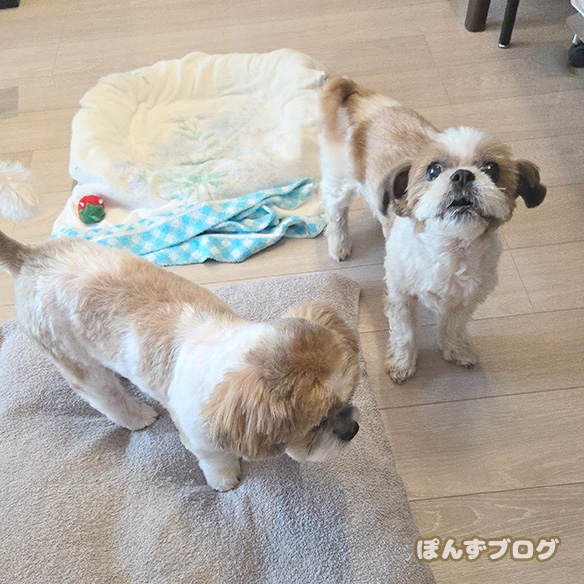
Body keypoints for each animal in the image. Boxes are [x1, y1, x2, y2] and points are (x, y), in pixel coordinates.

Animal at [0, 161, 361, 491]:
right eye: (315, 424)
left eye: (349, 395)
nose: (353, 429)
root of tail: (31, 258)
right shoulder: (200, 437)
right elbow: (216, 461)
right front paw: (225, 479)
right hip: (73, 360)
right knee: (104, 396)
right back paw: (137, 416)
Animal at [319, 78, 546, 383]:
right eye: (433, 170)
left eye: (491, 168)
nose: (462, 175)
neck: (450, 249)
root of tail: (362, 99)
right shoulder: (400, 295)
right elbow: (404, 333)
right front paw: (402, 363)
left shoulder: (469, 297)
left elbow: (454, 325)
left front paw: (456, 349)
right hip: (339, 181)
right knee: (336, 214)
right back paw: (340, 244)